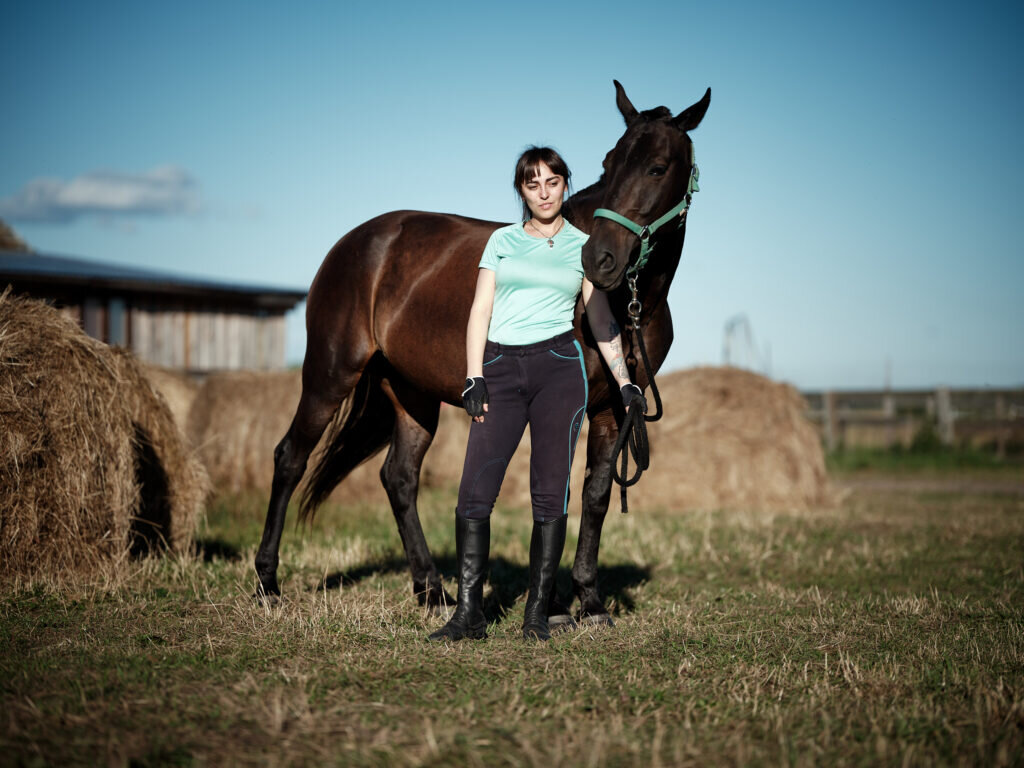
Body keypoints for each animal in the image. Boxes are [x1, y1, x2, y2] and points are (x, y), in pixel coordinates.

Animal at [251, 81, 708, 626]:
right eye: (609, 162)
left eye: (657, 167)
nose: (599, 260)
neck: (632, 303)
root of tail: (355, 243)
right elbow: (558, 490)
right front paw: (557, 602)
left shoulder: (617, 405)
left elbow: (595, 495)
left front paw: (589, 600)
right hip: (329, 373)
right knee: (289, 459)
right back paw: (267, 583)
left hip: (413, 395)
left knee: (399, 479)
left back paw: (432, 590)